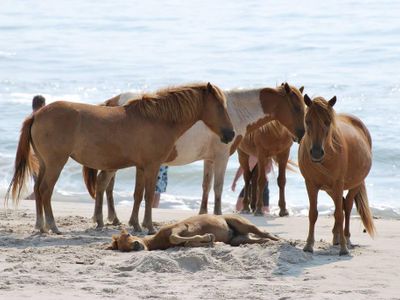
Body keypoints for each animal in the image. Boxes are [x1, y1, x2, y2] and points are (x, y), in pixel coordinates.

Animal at [6, 82, 234, 234]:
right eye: (220, 106)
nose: (230, 134)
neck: (157, 119)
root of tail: (37, 114)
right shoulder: (152, 166)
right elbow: (148, 196)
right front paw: (149, 227)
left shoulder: (141, 167)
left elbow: (138, 195)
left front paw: (136, 224)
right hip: (56, 163)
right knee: (45, 191)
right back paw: (53, 226)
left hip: (45, 163)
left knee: (38, 190)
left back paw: (41, 226)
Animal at [83, 82, 304, 227]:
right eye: (295, 107)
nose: (301, 134)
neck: (234, 111)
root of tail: (113, 102)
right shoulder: (221, 157)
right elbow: (217, 187)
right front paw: (218, 215)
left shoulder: (209, 159)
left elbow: (206, 186)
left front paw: (203, 214)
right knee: (104, 184)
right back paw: (105, 219)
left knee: (105, 185)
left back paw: (109, 219)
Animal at [298, 95, 376, 254]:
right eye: (307, 121)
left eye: (327, 122)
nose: (316, 152)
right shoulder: (310, 184)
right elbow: (313, 214)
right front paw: (309, 245)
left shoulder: (338, 183)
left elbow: (340, 214)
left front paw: (344, 248)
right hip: (330, 189)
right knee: (341, 204)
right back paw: (336, 237)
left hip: (354, 184)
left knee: (347, 206)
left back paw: (346, 238)